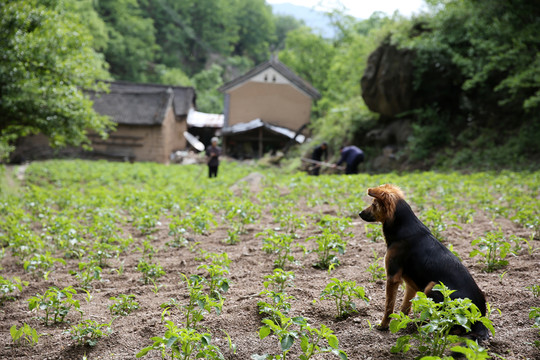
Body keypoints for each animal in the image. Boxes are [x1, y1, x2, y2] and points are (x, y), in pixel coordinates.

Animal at [358, 184, 490, 338]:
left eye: (374, 204)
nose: (359, 213)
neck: (402, 225)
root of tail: (479, 321)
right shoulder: (410, 284)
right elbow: (405, 306)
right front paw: (401, 323)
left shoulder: (392, 277)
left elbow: (389, 306)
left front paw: (383, 325)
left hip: (432, 286)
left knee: (453, 325)